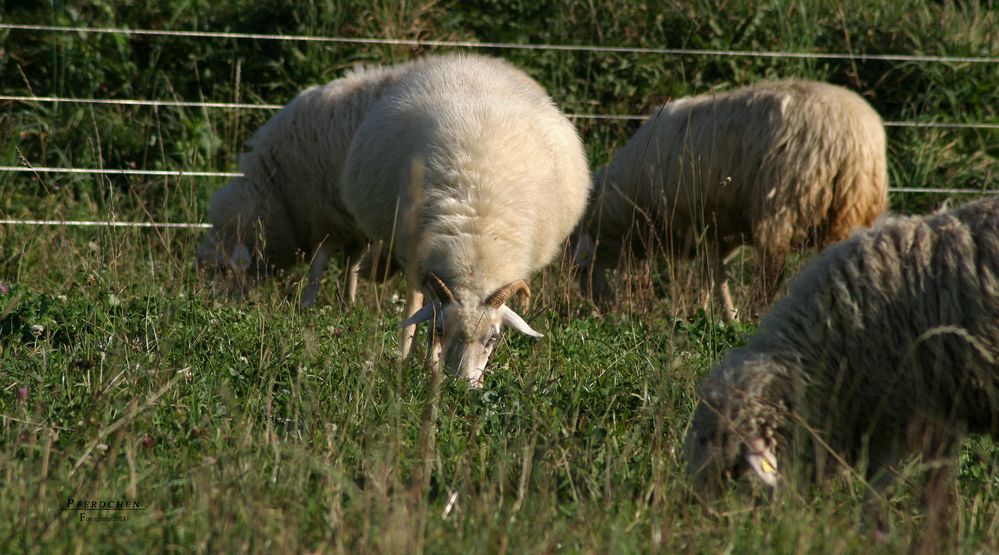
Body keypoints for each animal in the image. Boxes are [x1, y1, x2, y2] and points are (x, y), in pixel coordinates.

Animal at [195, 61, 414, 308]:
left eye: (221, 269)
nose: (211, 305)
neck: (277, 187)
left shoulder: (321, 208)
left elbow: (319, 260)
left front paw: (308, 303)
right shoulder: (348, 218)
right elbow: (352, 261)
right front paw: (347, 303)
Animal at [344, 55, 592, 386]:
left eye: (494, 339)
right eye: (441, 330)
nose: (463, 385)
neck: (477, 234)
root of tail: (472, 60)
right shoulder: (415, 256)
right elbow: (415, 311)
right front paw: (419, 361)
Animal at [580, 80, 892, 320]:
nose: (594, 308)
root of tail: (854, 144)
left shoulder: (682, 221)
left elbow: (691, 274)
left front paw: (693, 312)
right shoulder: (713, 227)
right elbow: (713, 274)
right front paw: (716, 314)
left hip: (782, 206)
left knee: (771, 272)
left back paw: (759, 315)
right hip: (856, 210)